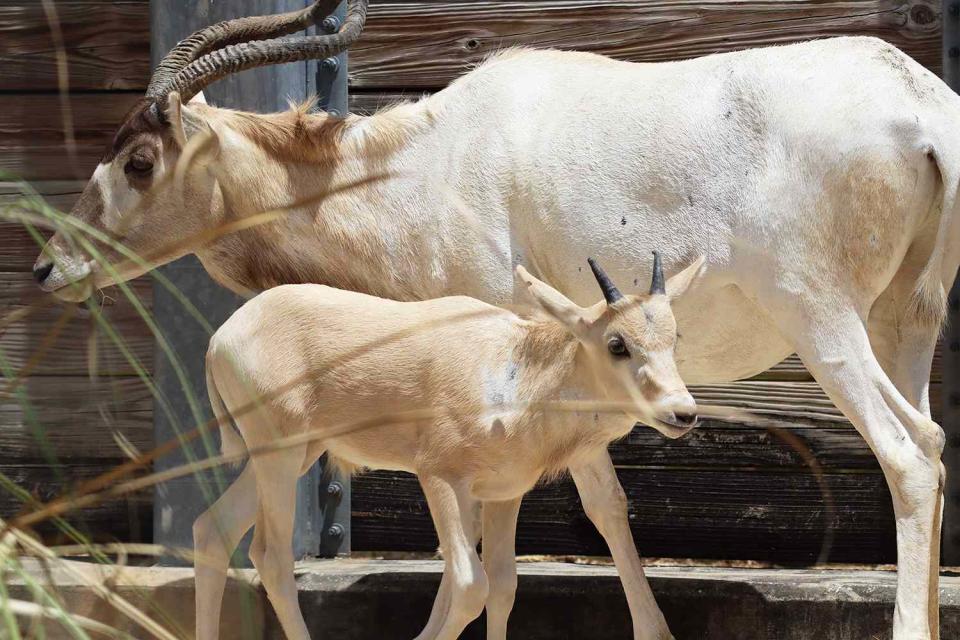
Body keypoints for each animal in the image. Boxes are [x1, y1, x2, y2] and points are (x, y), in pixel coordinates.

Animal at [197, 255, 704, 640]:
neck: (513, 373)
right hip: (278, 455)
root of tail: (221, 337)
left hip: (298, 454)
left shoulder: (503, 494)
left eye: (674, 336)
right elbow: (469, 586)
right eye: (617, 344)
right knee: (271, 557)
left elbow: (503, 586)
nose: (683, 412)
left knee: (212, 529)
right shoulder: (439, 477)